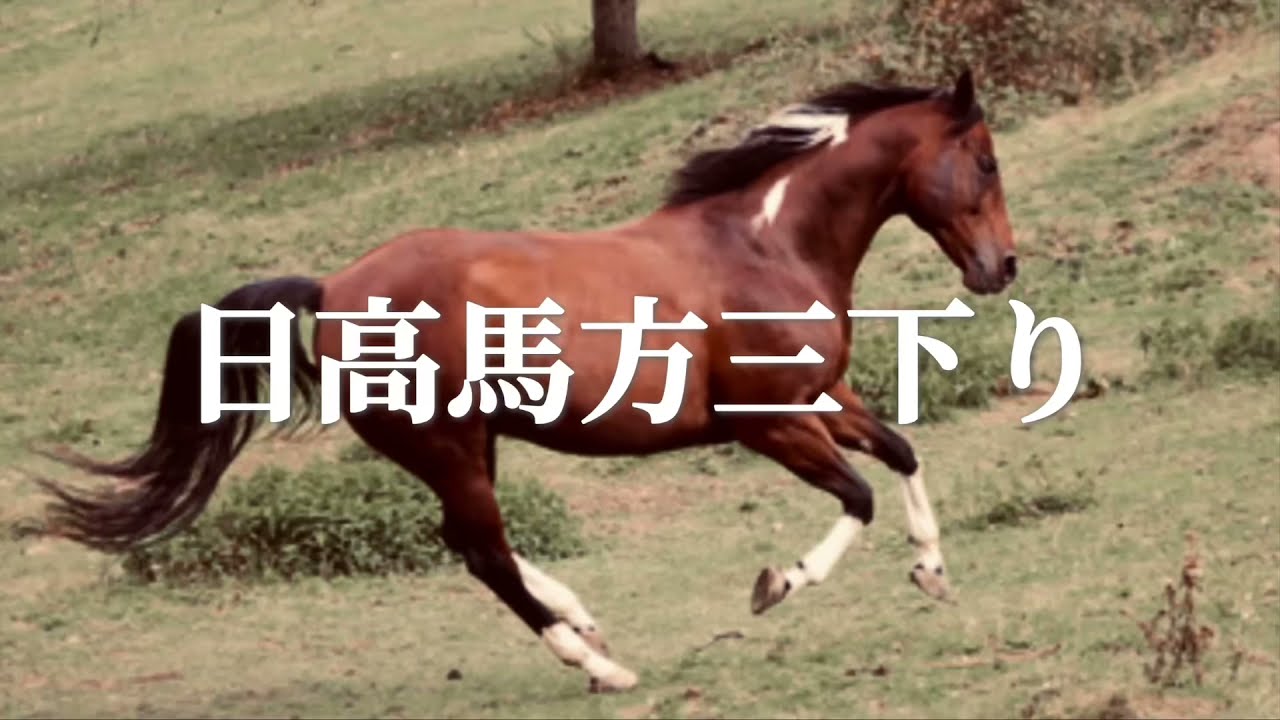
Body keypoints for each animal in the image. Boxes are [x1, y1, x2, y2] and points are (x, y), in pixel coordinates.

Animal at [32, 69, 1016, 693]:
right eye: (988, 160)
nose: (1001, 266)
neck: (762, 245)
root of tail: (332, 288)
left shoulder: (820, 399)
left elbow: (900, 451)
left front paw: (932, 573)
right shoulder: (768, 423)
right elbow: (857, 496)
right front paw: (775, 584)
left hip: (472, 443)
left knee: (474, 545)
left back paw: (584, 624)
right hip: (449, 446)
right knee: (485, 552)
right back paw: (601, 666)